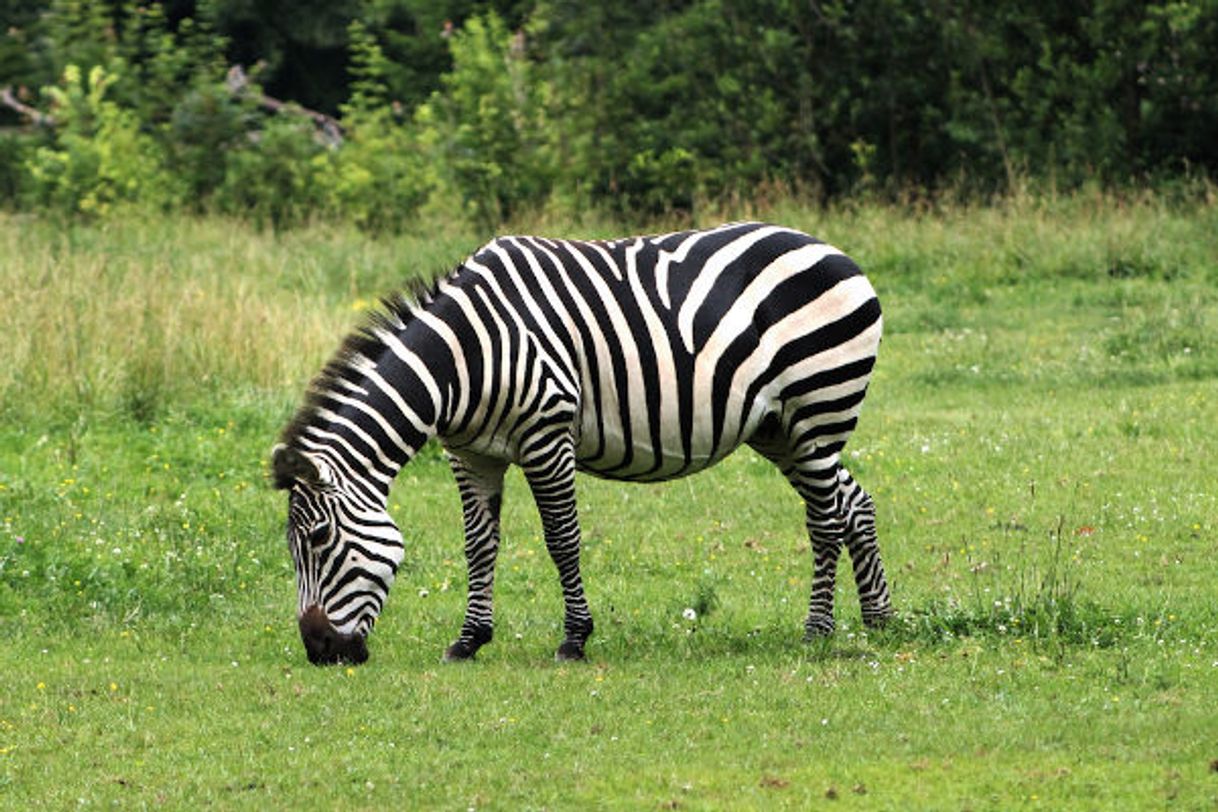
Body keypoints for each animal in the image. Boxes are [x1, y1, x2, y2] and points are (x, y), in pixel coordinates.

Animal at [271, 222, 891, 667]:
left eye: (319, 540)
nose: (319, 652)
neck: (464, 359)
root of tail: (832, 249)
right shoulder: (470, 453)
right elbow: (479, 546)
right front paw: (469, 639)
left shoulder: (547, 435)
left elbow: (561, 540)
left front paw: (574, 639)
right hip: (779, 428)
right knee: (852, 502)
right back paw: (880, 619)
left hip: (817, 408)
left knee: (825, 518)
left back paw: (817, 630)